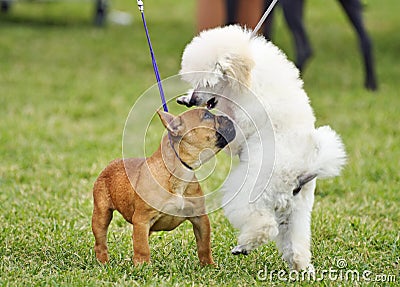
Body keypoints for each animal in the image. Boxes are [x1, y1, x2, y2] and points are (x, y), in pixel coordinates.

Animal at [90, 109, 234, 266]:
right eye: (207, 116)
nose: (228, 117)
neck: (179, 172)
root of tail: (111, 164)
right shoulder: (142, 220)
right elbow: (143, 248)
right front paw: (142, 266)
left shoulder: (200, 218)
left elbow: (204, 245)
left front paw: (208, 265)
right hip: (102, 214)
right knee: (101, 241)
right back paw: (103, 262)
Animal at [177, 25, 346, 272]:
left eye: (207, 82)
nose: (193, 100)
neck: (246, 75)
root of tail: (300, 175)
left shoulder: (244, 118)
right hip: (296, 210)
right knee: (296, 242)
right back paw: (302, 268)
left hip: (252, 193)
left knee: (265, 225)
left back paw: (244, 246)